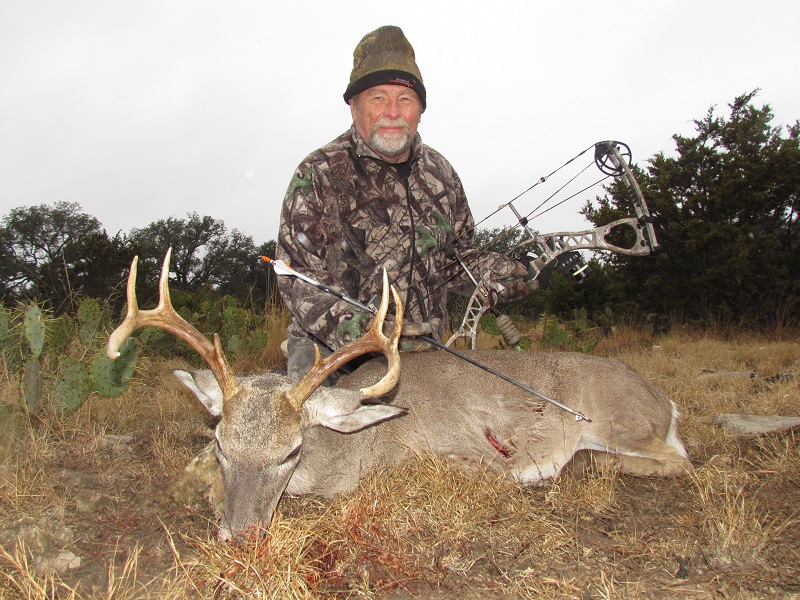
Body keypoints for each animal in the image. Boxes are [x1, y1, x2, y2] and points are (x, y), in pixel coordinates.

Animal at [107, 250, 691, 541]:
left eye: (292, 451)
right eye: (220, 443)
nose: (242, 534)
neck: (358, 451)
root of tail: (665, 402)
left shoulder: (469, 459)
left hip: (620, 423)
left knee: (677, 460)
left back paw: (591, 465)